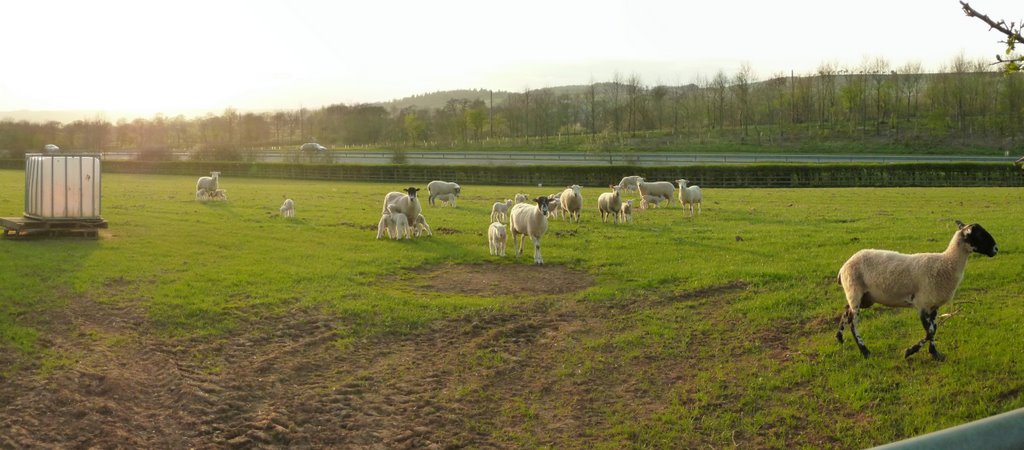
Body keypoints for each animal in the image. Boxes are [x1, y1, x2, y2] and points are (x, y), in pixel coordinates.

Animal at [835, 220, 995, 360]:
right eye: (979, 235)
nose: (996, 249)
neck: (947, 263)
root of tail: (844, 267)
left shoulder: (933, 306)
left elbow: (934, 328)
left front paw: (935, 353)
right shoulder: (922, 304)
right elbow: (930, 331)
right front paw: (910, 351)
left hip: (865, 297)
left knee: (846, 311)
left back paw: (840, 337)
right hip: (855, 290)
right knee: (853, 322)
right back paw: (865, 351)